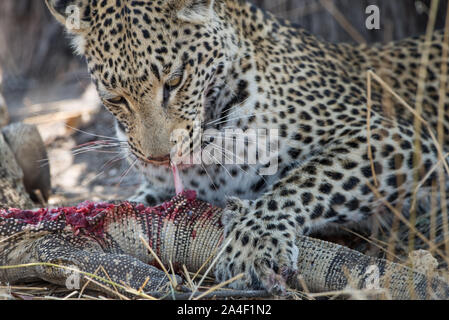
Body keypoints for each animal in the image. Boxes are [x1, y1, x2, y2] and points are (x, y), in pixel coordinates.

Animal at [46, 0, 448, 294]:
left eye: (175, 81)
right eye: (116, 98)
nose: (160, 156)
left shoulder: (392, 134)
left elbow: (305, 180)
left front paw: (254, 241)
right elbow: (130, 205)